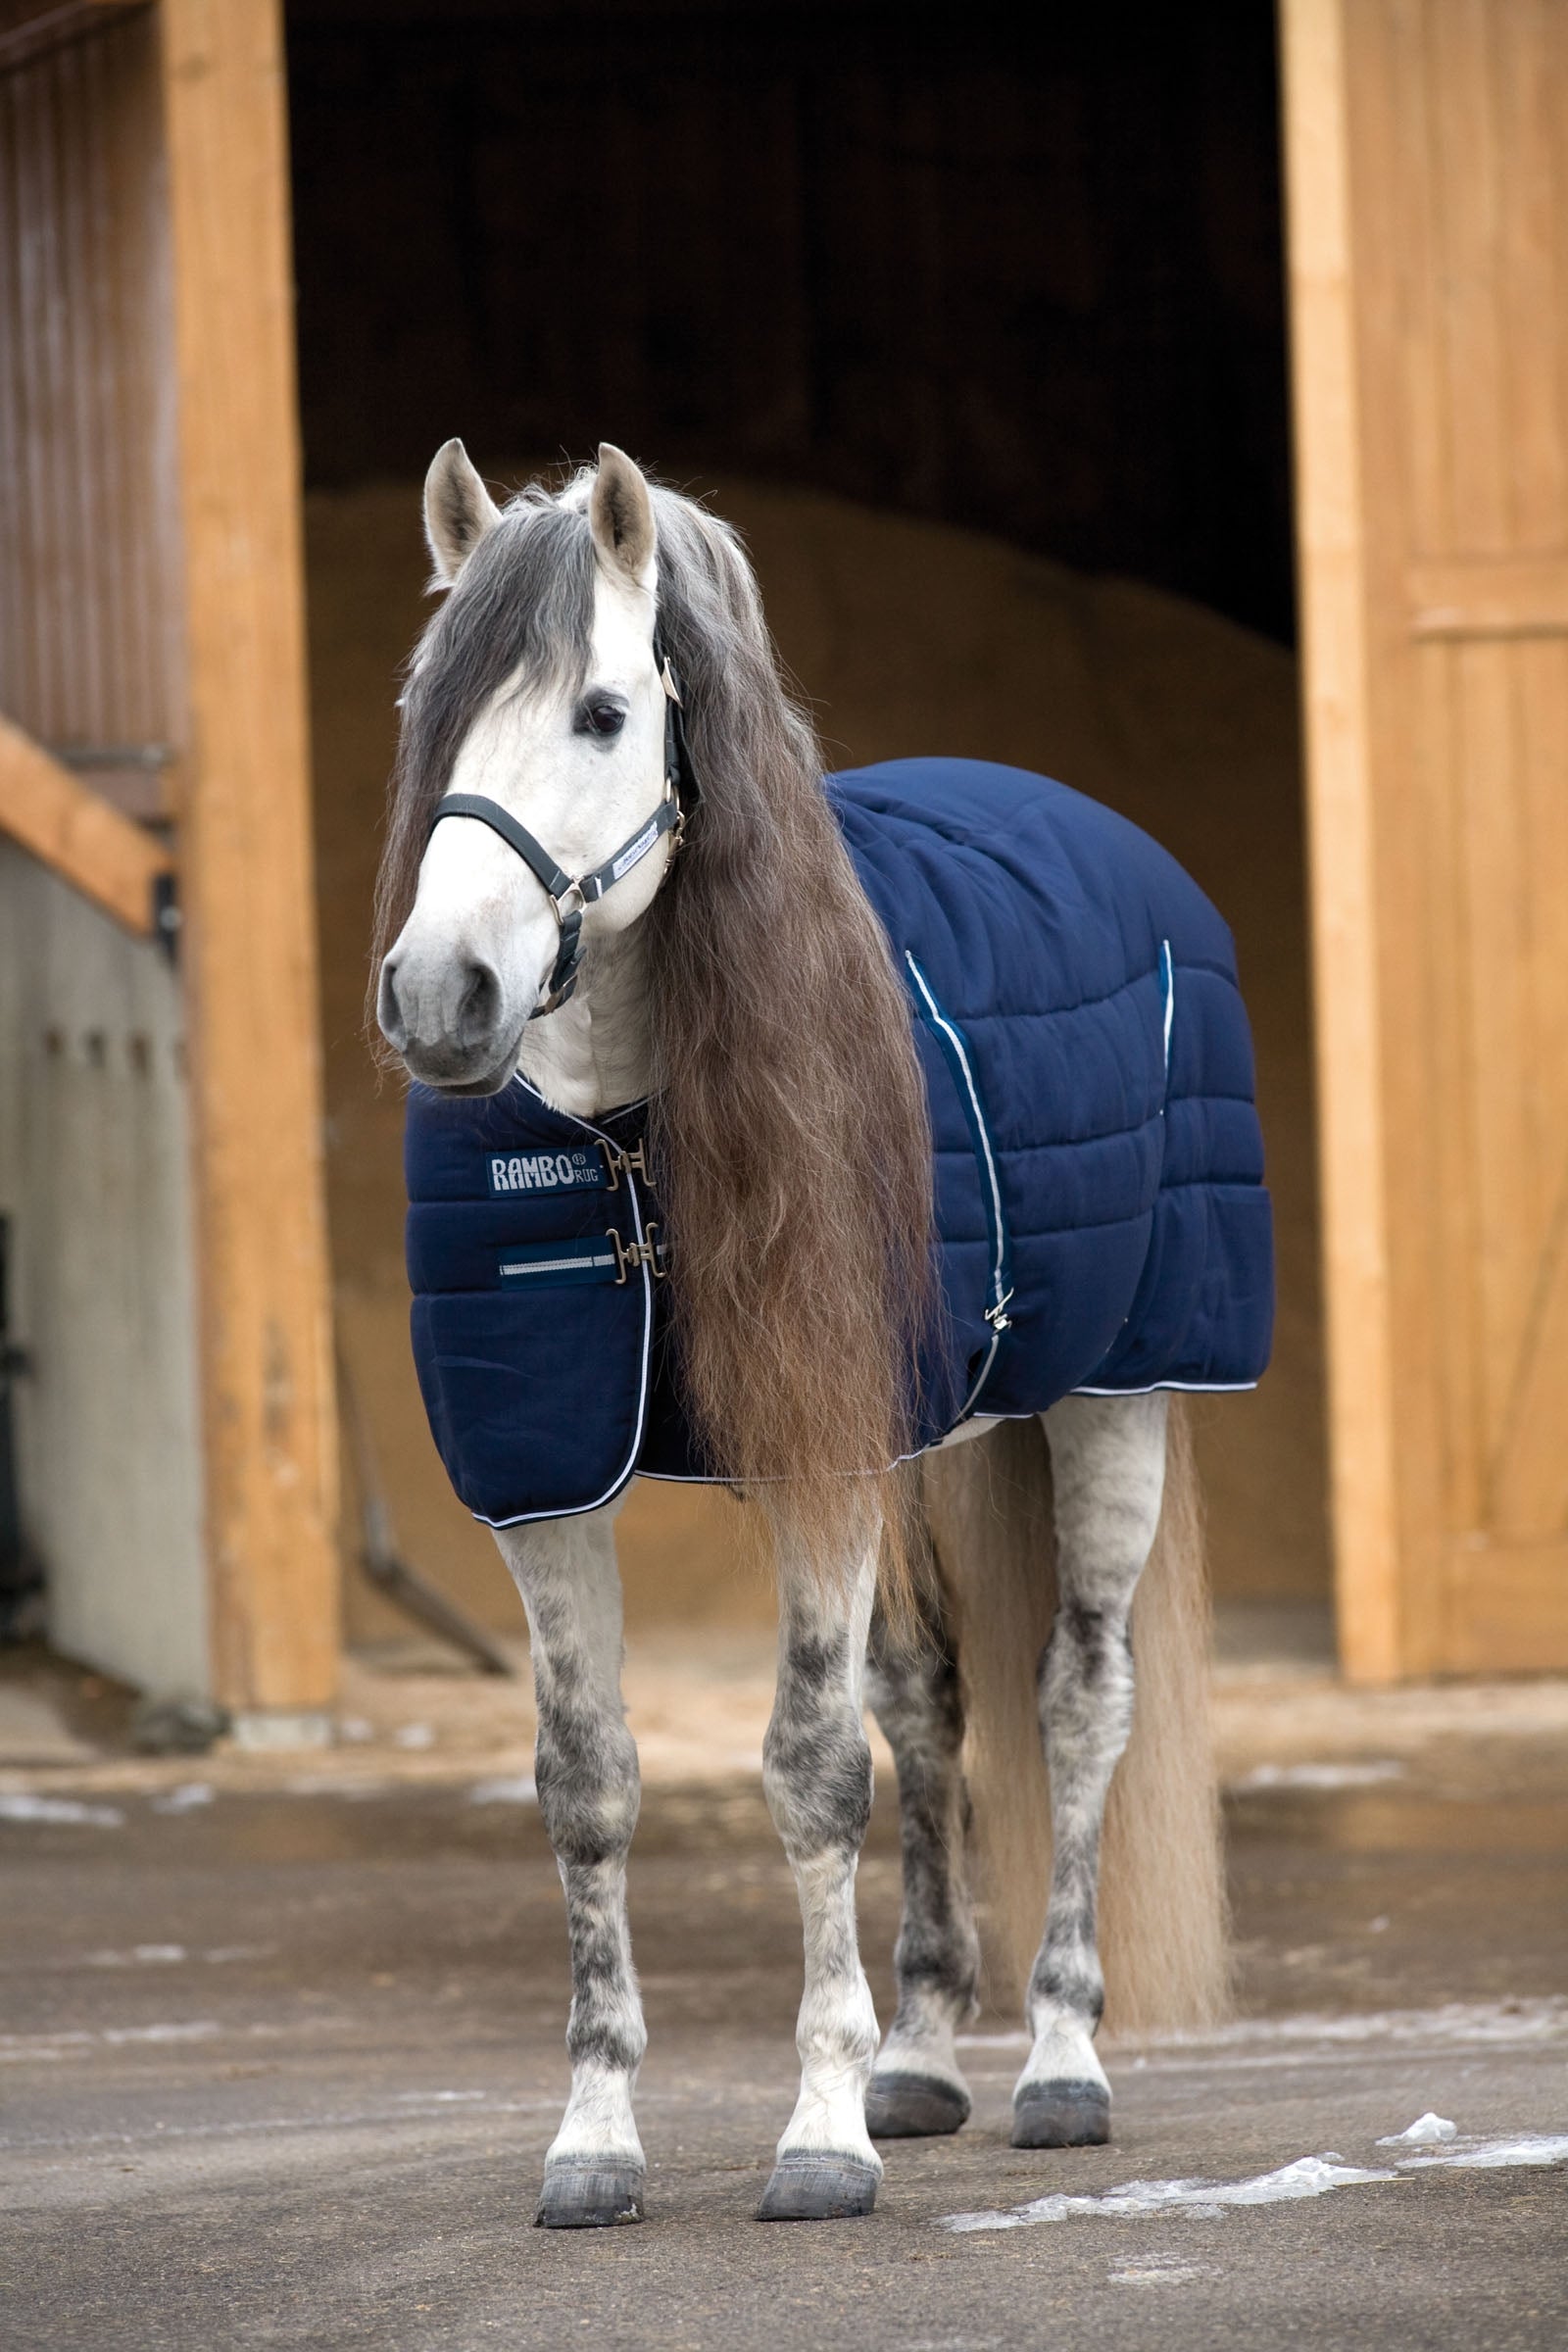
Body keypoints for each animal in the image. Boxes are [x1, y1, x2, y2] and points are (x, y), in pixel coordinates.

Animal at [372, 441, 1271, 2229]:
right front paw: (599, 2135)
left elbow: (807, 1768)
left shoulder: (825, 1459)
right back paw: (924, 2055)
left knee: (1079, 1703)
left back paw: (1059, 2062)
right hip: (933, 1440)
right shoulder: (546, 1482)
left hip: (1111, 1401)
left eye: (600, 713)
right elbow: (590, 1786)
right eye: (428, 711)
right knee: (931, 1705)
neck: (630, 1136)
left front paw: (818, 2134)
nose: (442, 995)